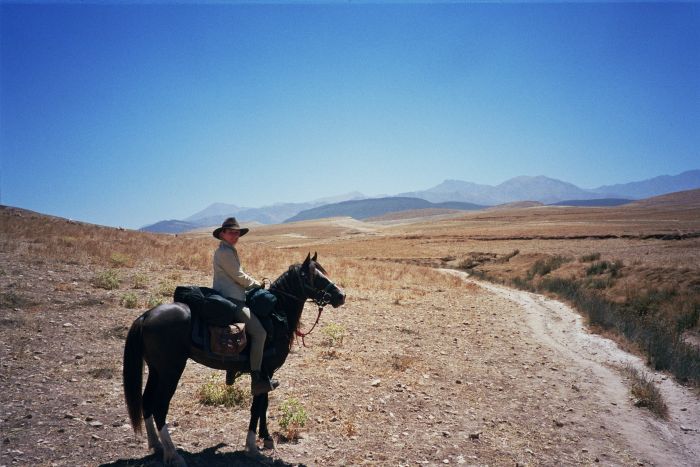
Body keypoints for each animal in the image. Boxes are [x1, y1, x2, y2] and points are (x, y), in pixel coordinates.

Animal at [125, 254, 348, 466]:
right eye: (314, 276)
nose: (341, 296)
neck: (278, 314)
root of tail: (146, 316)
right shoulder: (263, 372)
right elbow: (257, 406)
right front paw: (252, 447)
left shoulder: (266, 375)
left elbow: (264, 404)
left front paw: (266, 438)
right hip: (171, 371)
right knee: (159, 406)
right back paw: (173, 454)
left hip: (156, 370)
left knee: (147, 401)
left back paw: (156, 445)